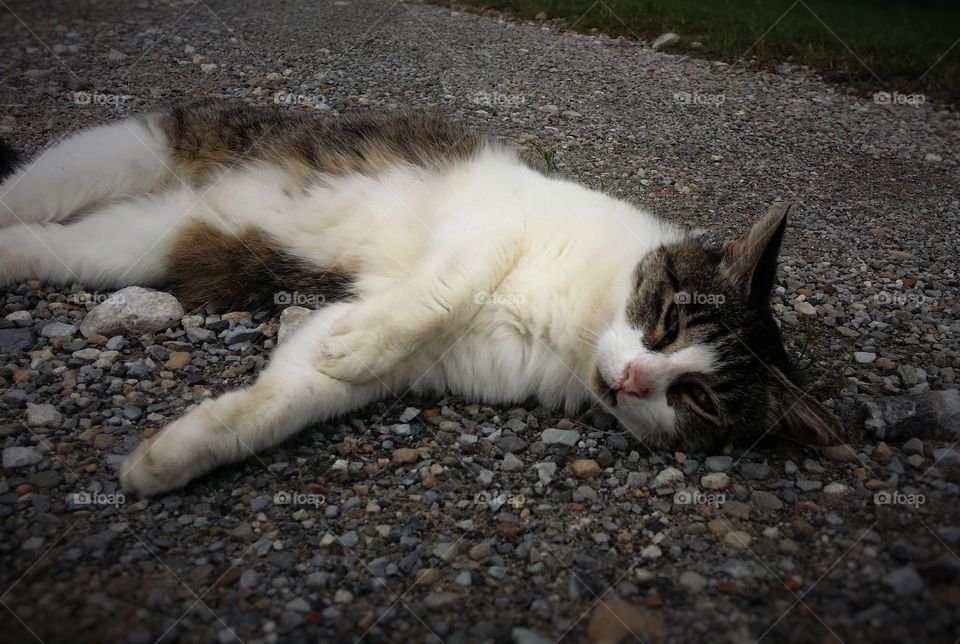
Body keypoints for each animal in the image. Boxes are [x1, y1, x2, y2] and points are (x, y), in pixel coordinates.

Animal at [0, 100, 840, 496]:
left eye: (697, 400)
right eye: (667, 321)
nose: (635, 380)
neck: (579, 319)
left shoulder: (425, 360)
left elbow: (287, 395)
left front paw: (173, 457)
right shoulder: (493, 226)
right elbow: (443, 288)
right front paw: (365, 339)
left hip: (137, 241)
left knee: (53, 243)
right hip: (137, 147)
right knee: (35, 187)